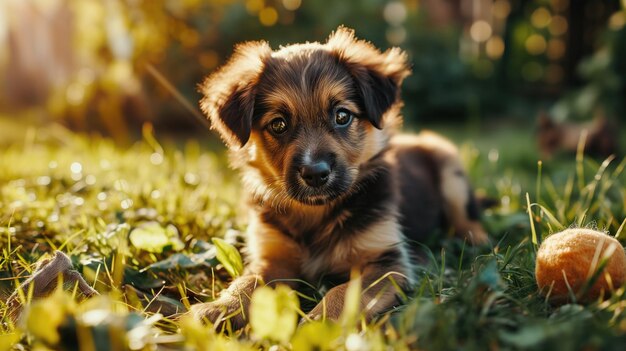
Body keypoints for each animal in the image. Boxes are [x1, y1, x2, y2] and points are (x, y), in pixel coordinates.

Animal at [193, 26, 486, 330]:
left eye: (342, 116)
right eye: (278, 124)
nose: (315, 173)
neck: (316, 213)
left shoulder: (387, 261)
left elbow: (343, 292)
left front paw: (318, 324)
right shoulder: (272, 258)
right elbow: (247, 281)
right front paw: (220, 308)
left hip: (449, 168)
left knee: (468, 217)